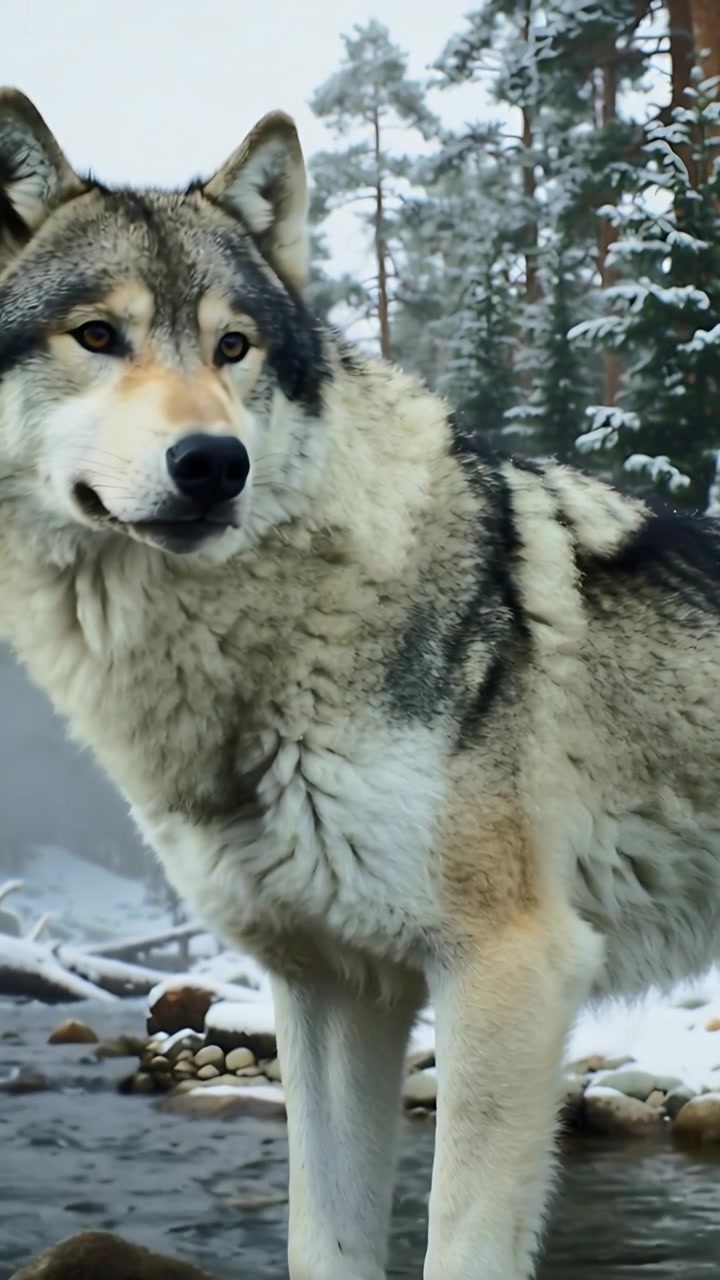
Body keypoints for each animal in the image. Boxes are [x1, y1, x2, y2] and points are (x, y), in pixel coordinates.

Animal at [0, 87, 719, 1280]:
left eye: (234, 346)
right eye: (97, 335)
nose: (215, 464)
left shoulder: (509, 970)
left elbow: (457, 1244)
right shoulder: (334, 991)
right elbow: (324, 1240)